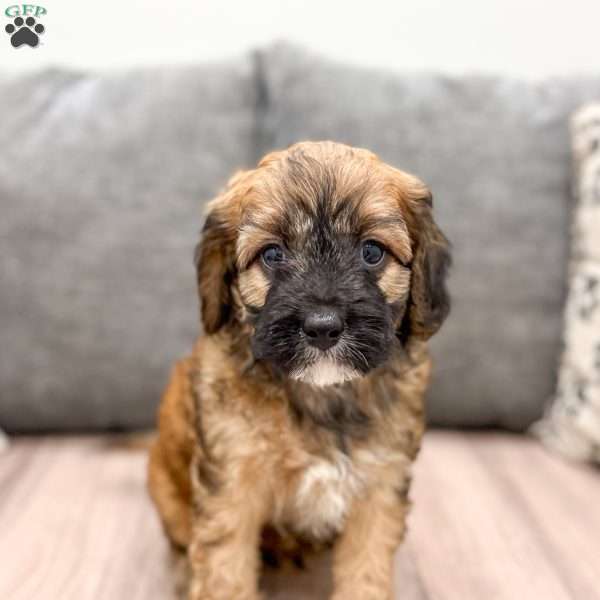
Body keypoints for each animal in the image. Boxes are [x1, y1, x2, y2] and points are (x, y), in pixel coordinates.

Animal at [149, 142, 450, 600]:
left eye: (372, 252)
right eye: (273, 254)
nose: (323, 326)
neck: (320, 394)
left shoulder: (380, 482)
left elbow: (366, 569)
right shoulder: (231, 487)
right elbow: (224, 571)